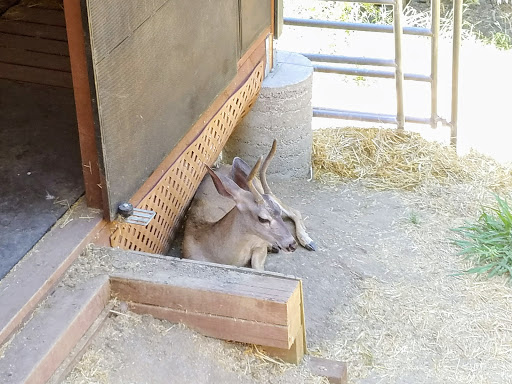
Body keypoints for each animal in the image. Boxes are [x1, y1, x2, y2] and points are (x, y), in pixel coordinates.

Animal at [182, 140, 314, 270]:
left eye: (278, 213)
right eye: (262, 219)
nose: (292, 244)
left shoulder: (259, 245)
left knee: (293, 210)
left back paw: (308, 241)